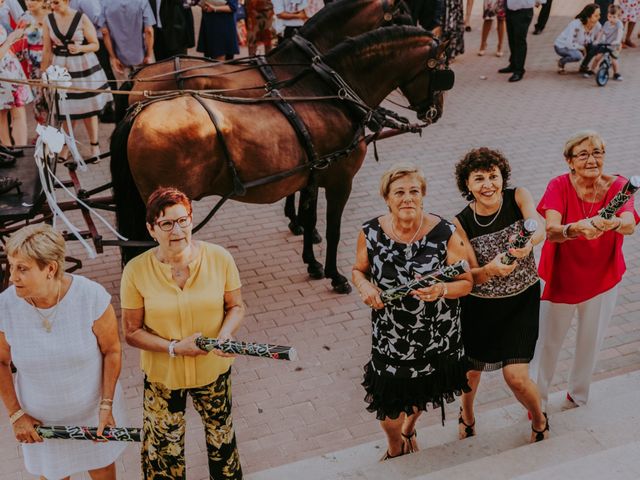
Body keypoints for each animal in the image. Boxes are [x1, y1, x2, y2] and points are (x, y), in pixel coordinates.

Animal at [110, 27, 450, 292]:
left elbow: (310, 216)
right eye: (441, 72)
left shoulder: (311, 175)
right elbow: (334, 229)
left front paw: (312, 262)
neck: (330, 94)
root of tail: (139, 113)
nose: (435, 112)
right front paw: (335, 275)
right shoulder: (340, 181)